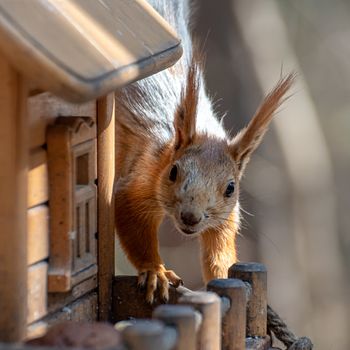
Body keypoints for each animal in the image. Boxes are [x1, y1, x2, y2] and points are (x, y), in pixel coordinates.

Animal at [113, 0, 294, 304]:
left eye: (231, 188)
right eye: (173, 172)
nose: (190, 217)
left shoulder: (225, 218)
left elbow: (218, 255)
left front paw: (224, 276)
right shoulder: (142, 177)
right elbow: (131, 217)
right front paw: (155, 271)